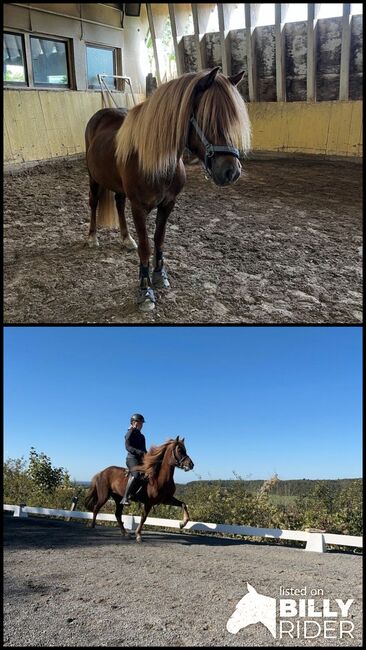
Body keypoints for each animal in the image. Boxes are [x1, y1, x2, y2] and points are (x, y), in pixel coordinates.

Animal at [85, 67, 252, 310]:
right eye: (208, 118)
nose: (232, 172)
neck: (157, 162)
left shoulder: (168, 204)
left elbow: (159, 238)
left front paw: (159, 275)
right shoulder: (138, 208)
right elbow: (145, 245)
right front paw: (145, 291)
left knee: (118, 203)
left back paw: (126, 239)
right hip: (93, 178)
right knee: (94, 203)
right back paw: (92, 238)